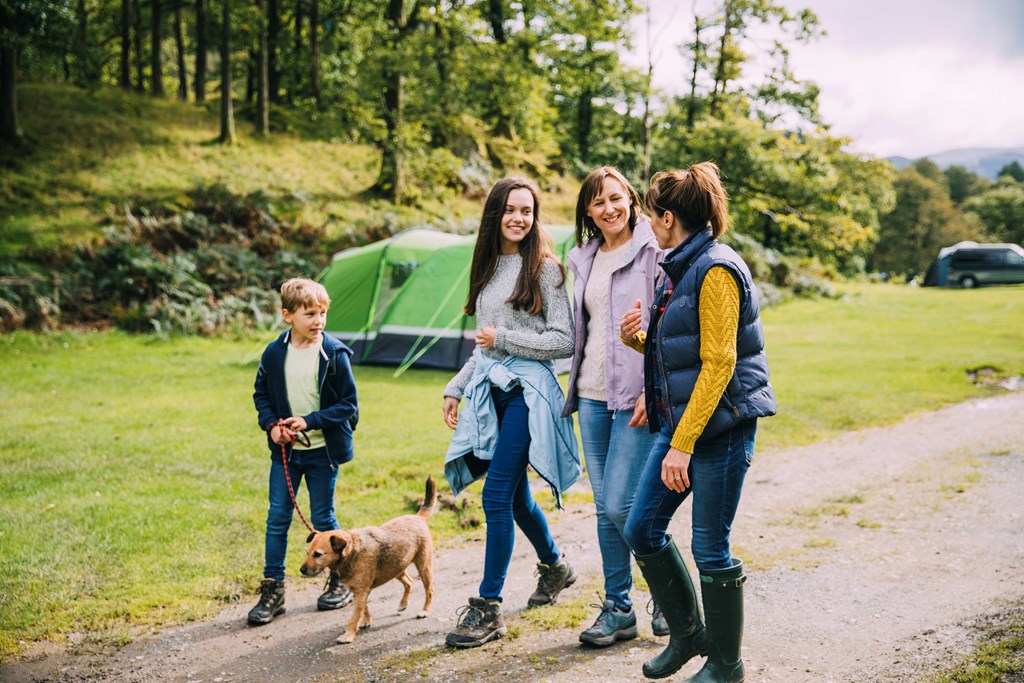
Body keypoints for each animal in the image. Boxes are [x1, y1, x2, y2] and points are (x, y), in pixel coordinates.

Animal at [299, 479, 436, 643]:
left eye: (317, 554)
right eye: (307, 553)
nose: (302, 570)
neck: (352, 552)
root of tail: (418, 517)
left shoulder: (361, 590)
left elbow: (354, 615)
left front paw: (348, 635)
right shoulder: (359, 590)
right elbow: (364, 608)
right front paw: (366, 621)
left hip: (423, 567)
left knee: (429, 590)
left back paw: (425, 611)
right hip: (396, 567)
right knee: (409, 582)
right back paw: (403, 604)